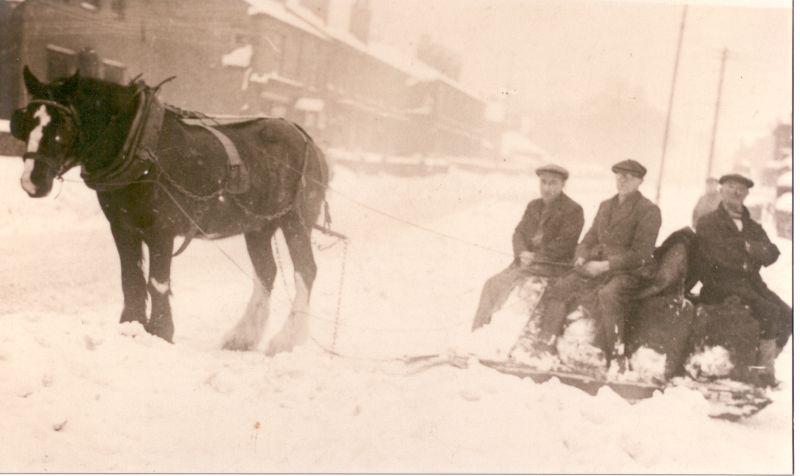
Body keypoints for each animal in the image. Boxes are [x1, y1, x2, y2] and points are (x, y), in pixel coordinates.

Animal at [10, 67, 328, 356]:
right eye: (25, 122)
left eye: (61, 125)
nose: (31, 181)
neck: (139, 146)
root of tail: (309, 140)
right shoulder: (122, 227)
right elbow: (131, 278)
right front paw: (131, 328)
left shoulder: (162, 229)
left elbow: (157, 283)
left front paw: (161, 333)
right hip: (258, 226)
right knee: (266, 272)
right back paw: (243, 336)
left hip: (295, 221)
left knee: (305, 270)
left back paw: (287, 338)